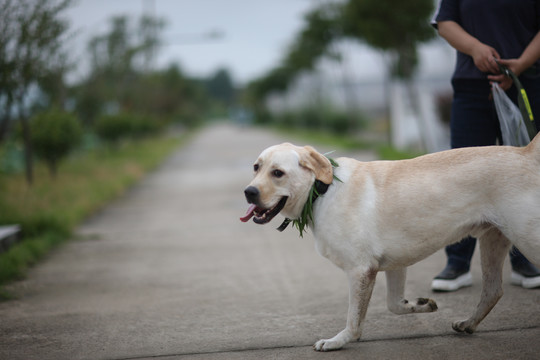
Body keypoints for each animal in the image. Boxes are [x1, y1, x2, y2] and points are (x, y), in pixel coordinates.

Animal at [243, 139, 540, 350]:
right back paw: (468, 324)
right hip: (493, 239)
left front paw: (340, 340)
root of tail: (526, 152)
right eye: (256, 167)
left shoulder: (360, 270)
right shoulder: (395, 265)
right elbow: (394, 305)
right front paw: (420, 305)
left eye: (278, 173)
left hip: (527, 238)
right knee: (493, 290)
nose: (249, 192)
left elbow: (354, 317)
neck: (322, 190)